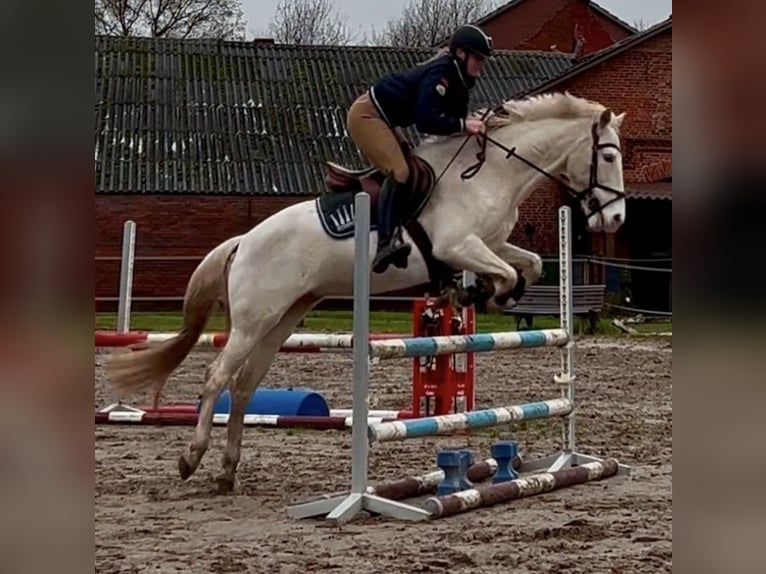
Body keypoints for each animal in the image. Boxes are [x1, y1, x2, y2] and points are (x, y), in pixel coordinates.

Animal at [105, 92, 628, 492]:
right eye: (608, 156)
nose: (616, 219)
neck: (490, 174)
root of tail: (244, 241)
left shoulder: (491, 244)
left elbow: (531, 265)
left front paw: (482, 296)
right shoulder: (458, 245)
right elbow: (503, 272)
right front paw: (477, 295)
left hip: (283, 318)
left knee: (244, 385)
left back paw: (227, 472)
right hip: (255, 320)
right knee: (217, 376)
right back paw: (191, 459)